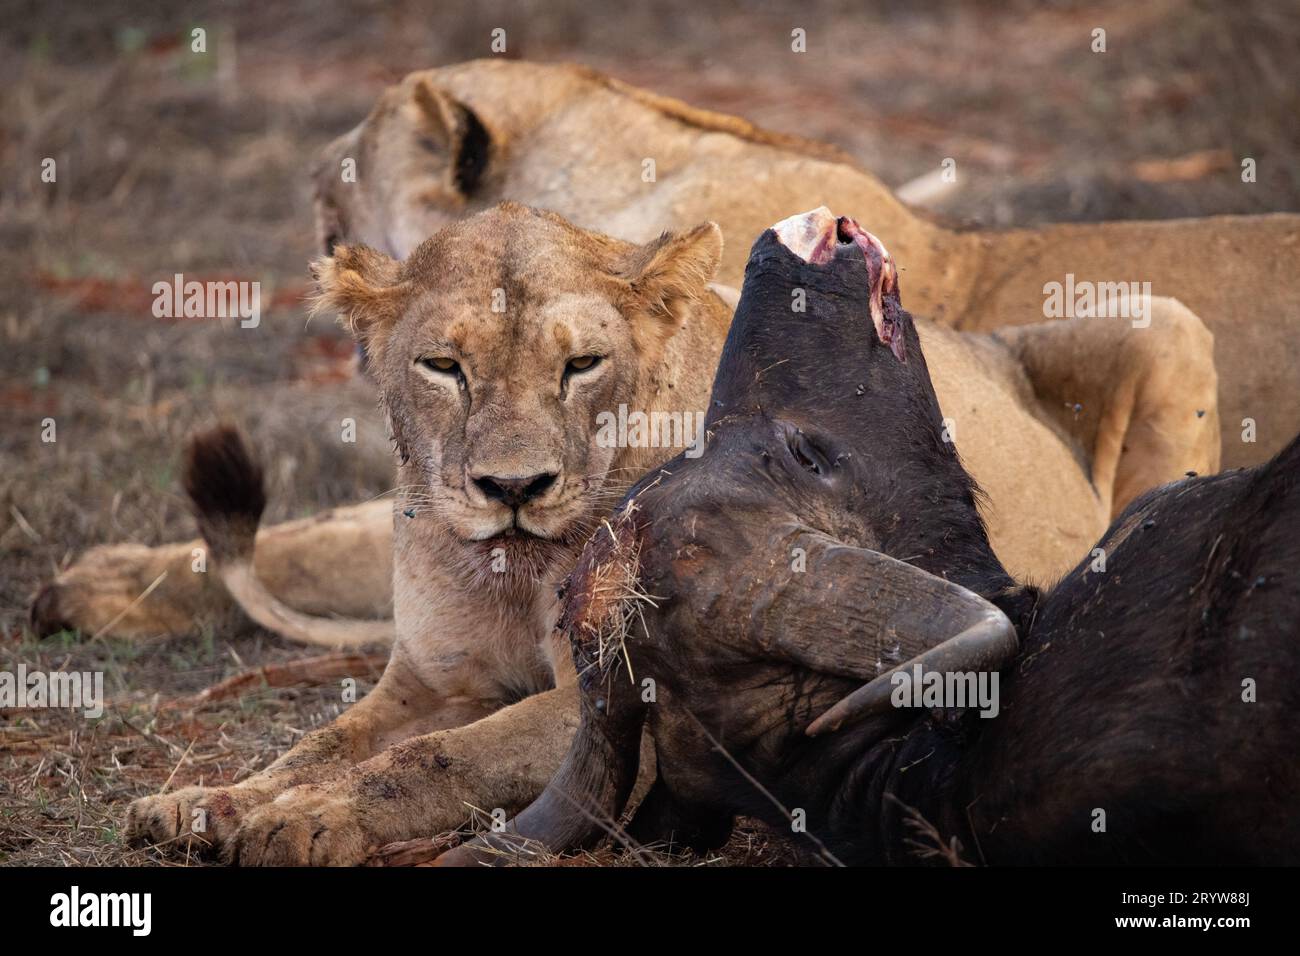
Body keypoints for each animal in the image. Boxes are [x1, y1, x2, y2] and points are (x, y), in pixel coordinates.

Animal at [120, 202, 1218, 864]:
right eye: (443, 366)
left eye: (580, 365)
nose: (512, 486)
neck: (509, 569)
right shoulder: (428, 680)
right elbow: (326, 739)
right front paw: (213, 802)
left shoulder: (612, 702)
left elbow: (436, 759)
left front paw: (303, 820)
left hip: (1159, 321)